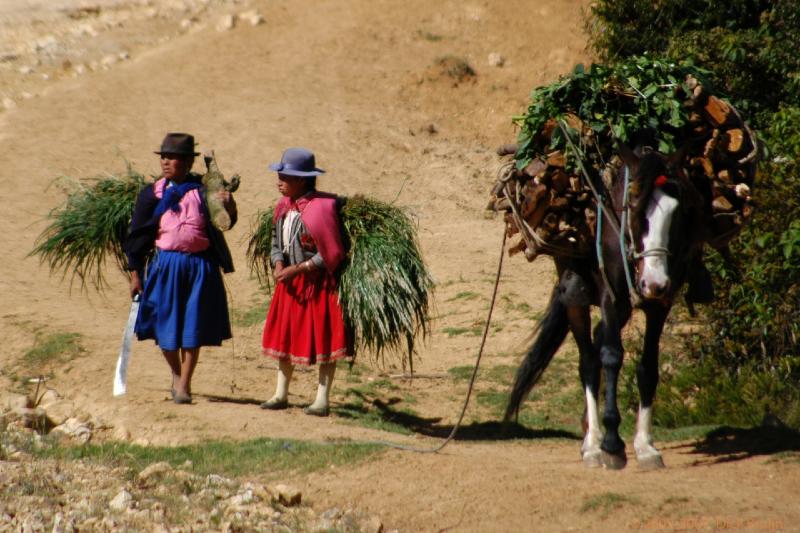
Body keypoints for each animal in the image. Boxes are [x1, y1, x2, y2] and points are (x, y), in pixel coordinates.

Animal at [506, 141, 708, 470]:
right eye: (635, 209)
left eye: (679, 213)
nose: (653, 282)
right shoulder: (610, 297)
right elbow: (611, 357)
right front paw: (612, 445)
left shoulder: (660, 304)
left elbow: (648, 366)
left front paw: (645, 446)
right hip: (576, 294)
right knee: (589, 360)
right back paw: (593, 444)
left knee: (598, 341)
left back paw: (590, 428)